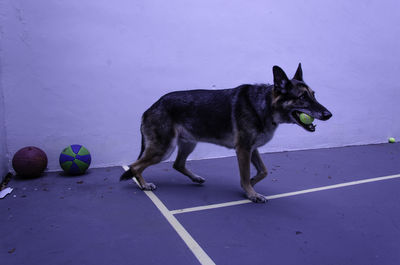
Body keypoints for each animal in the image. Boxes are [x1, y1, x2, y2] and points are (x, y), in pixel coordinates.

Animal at [120, 63, 332, 202]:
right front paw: (251, 193)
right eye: (302, 97)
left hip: (188, 144)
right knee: (135, 166)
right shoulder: (243, 150)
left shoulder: (251, 149)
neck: (264, 106)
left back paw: (194, 177)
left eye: (314, 95)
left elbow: (263, 171)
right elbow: (245, 174)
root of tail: (151, 107)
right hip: (164, 149)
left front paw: (250, 185)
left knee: (177, 164)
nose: (328, 115)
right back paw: (144, 185)